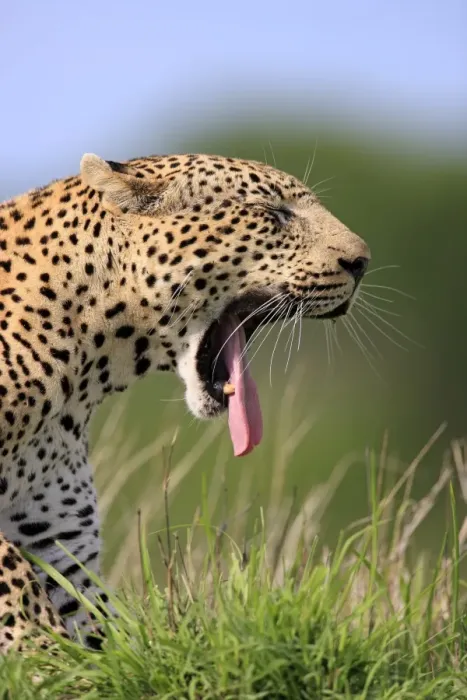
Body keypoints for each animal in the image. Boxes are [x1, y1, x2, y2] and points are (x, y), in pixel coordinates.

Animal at [0, 152, 370, 653]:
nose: (362, 261)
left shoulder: (59, 548)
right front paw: (39, 651)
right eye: (272, 213)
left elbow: (113, 645)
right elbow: (19, 589)